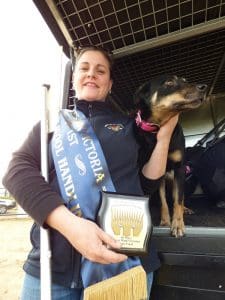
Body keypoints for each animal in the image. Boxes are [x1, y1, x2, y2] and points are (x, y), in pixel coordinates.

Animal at [134, 74, 207, 237]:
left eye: (185, 81)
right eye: (169, 83)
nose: (203, 87)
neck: (158, 128)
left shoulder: (179, 169)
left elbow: (178, 199)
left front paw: (178, 224)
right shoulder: (158, 174)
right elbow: (163, 201)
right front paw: (166, 221)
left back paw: (186, 209)